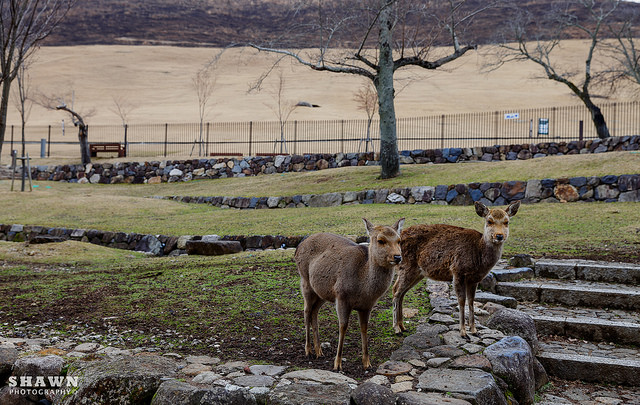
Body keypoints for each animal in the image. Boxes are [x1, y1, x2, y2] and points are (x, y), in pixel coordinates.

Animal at [292, 218, 402, 370]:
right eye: (381, 240)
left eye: (399, 240)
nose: (397, 257)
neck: (364, 288)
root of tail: (298, 247)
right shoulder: (341, 297)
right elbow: (343, 326)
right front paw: (337, 364)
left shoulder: (367, 306)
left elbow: (364, 327)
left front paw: (367, 362)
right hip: (305, 281)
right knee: (307, 310)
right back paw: (308, 350)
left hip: (322, 292)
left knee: (314, 311)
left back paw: (319, 350)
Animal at [390, 200, 520, 336]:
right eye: (489, 221)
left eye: (507, 222)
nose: (499, 236)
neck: (479, 257)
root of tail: (398, 237)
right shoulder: (458, 270)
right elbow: (461, 300)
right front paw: (463, 331)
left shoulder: (474, 279)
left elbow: (471, 301)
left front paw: (474, 330)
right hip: (406, 266)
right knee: (396, 291)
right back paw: (396, 328)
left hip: (417, 272)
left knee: (400, 291)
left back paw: (402, 326)